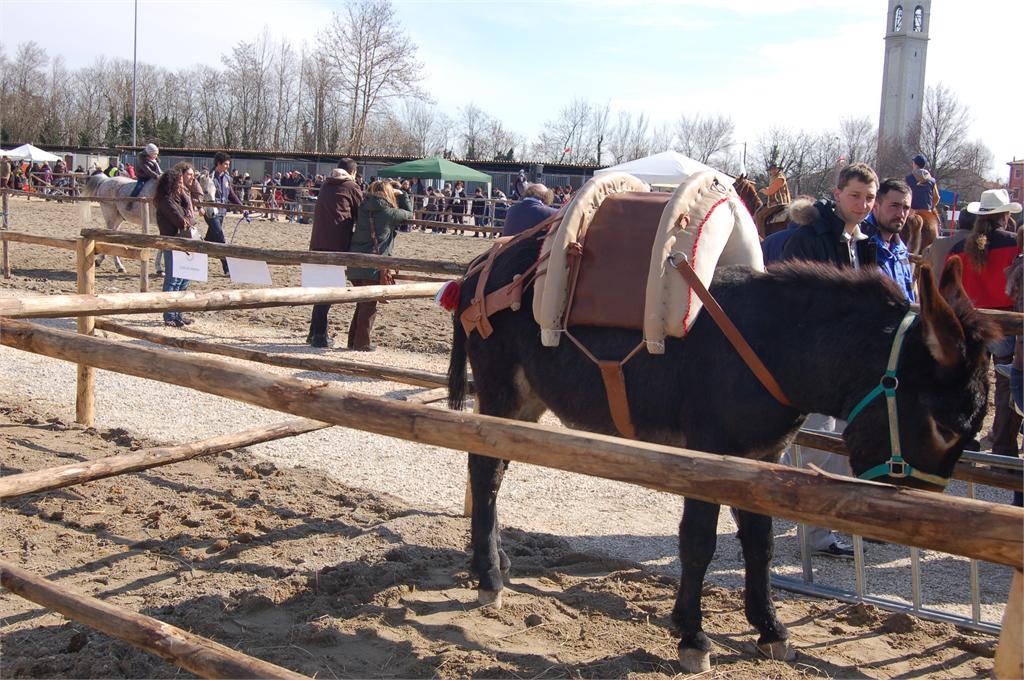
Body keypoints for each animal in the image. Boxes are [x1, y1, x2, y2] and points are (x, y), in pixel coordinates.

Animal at [446, 186, 994, 672]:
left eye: (970, 434)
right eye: (946, 424)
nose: (915, 519)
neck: (770, 343)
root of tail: (481, 266)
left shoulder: (760, 460)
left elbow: (760, 543)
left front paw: (770, 628)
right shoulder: (705, 458)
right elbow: (699, 543)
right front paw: (692, 635)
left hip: (527, 404)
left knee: (495, 467)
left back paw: (493, 561)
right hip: (501, 392)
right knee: (485, 471)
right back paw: (489, 576)